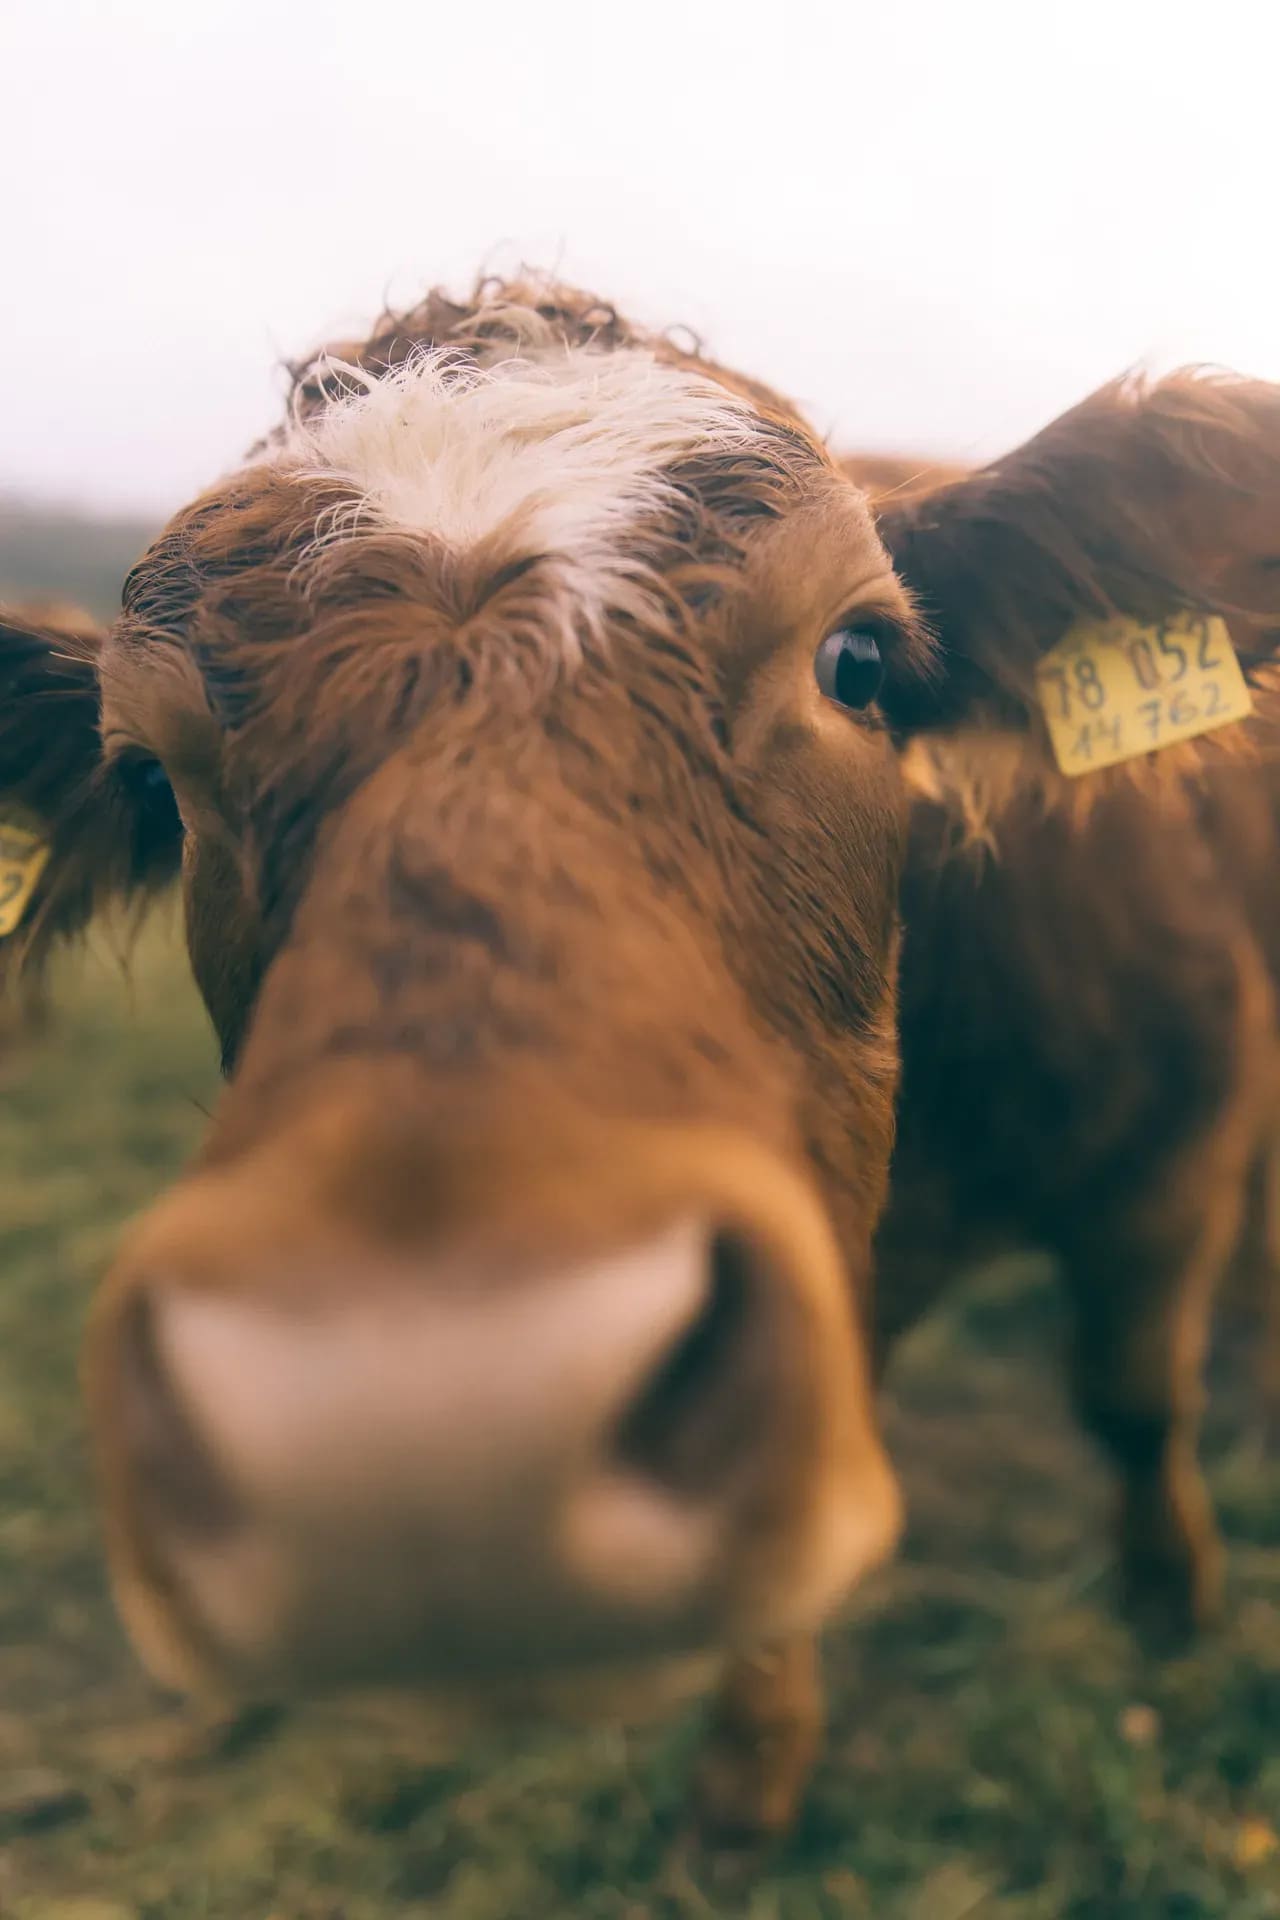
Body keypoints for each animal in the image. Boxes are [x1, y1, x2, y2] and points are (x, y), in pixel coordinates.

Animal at [2, 279, 1278, 1850]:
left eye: (859, 661)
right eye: (150, 778)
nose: (408, 1438)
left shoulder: (1178, 1135)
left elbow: (1131, 1392)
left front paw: (1169, 1600)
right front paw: (750, 1768)